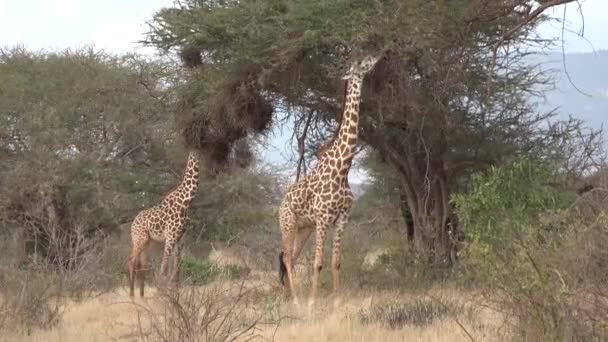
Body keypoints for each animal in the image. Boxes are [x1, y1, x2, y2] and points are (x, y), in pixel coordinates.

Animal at [127, 150, 201, 296]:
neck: (186, 201)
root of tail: (133, 223)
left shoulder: (180, 238)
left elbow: (177, 267)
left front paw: (176, 291)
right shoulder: (171, 236)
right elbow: (164, 266)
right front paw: (163, 292)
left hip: (147, 242)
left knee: (141, 265)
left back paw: (142, 296)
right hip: (140, 239)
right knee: (132, 262)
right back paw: (132, 295)